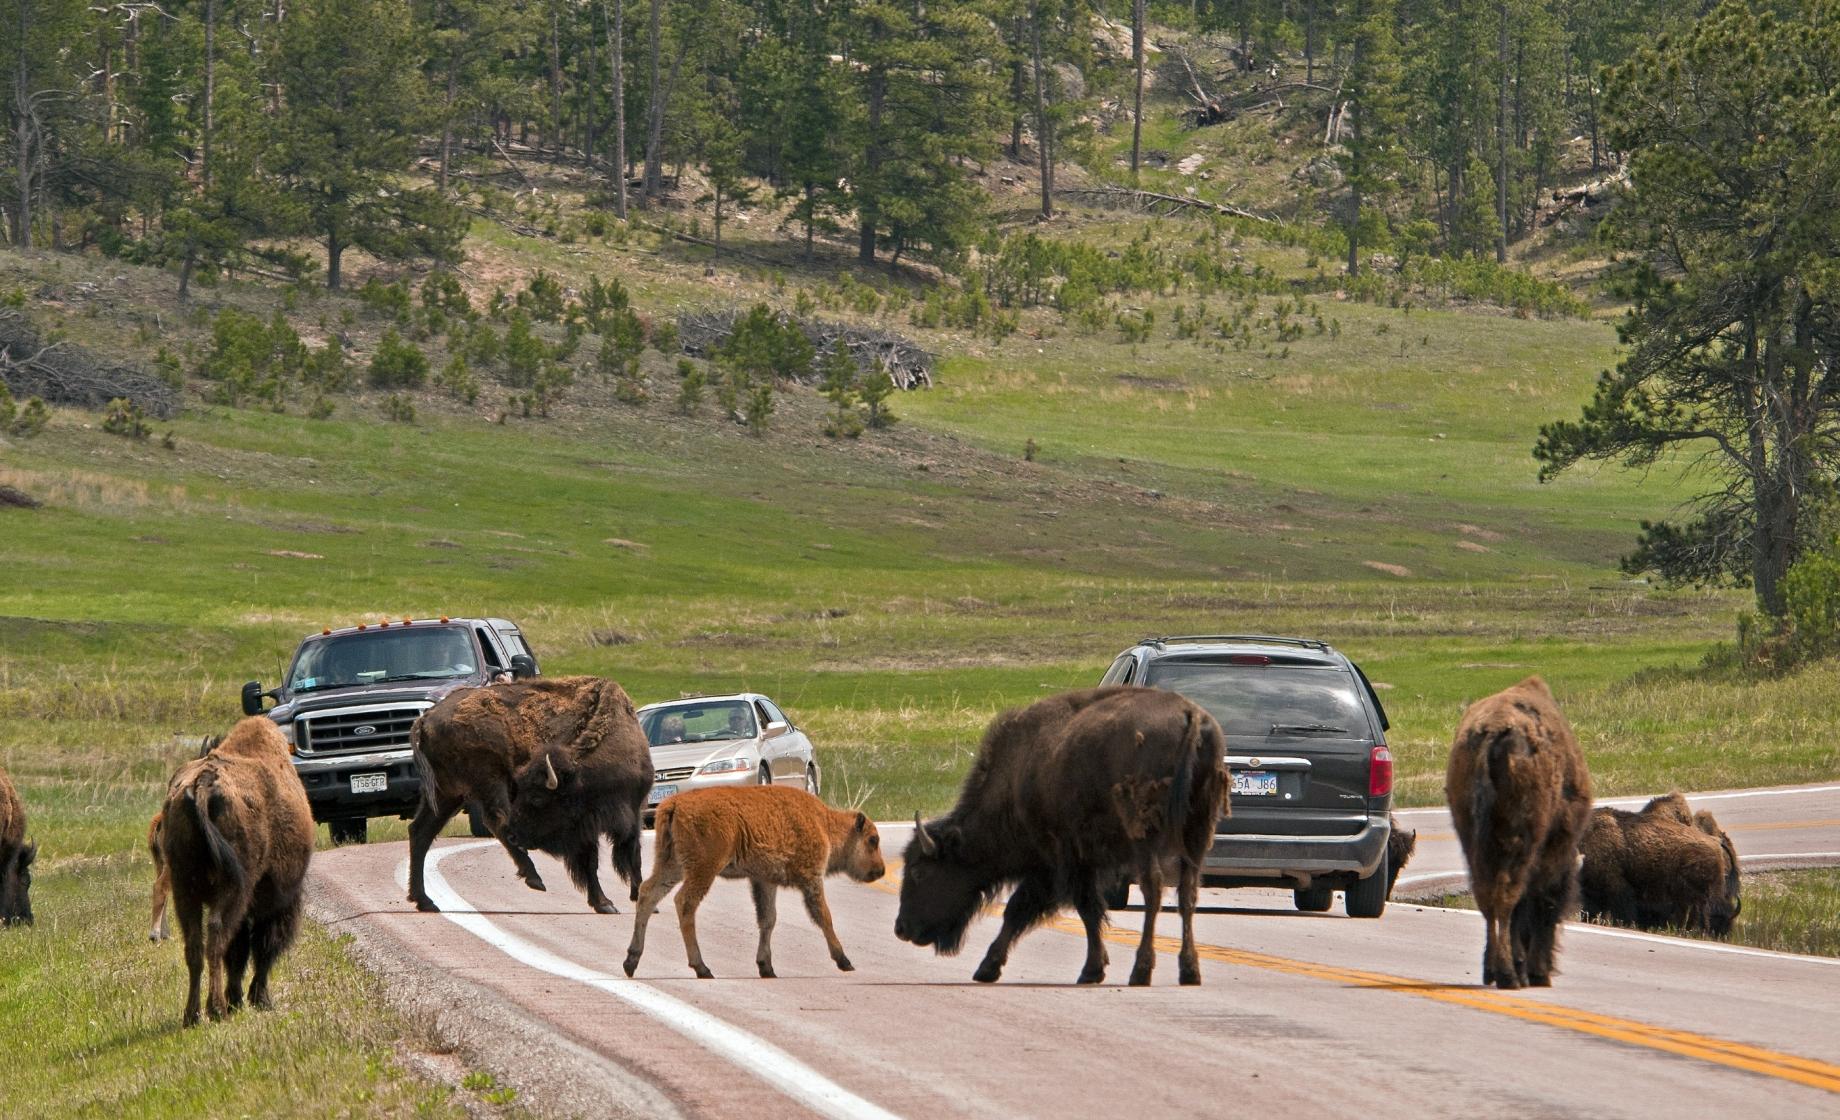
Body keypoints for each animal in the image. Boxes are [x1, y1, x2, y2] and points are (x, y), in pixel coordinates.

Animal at [159, 717, 315, 1025]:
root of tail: (203, 785)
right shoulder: (277, 901)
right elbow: (261, 947)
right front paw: (258, 999)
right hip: (234, 889)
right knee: (218, 936)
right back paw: (217, 1008)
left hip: (184, 888)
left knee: (195, 945)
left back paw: (193, 1014)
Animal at [409, 676, 651, 914]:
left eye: (536, 798)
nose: (517, 836)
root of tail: (425, 720)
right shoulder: (594, 823)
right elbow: (602, 859)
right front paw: (607, 903)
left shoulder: (630, 811)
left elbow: (631, 854)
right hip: (486, 782)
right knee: (495, 820)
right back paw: (534, 878)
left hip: (447, 795)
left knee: (420, 832)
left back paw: (424, 901)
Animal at [623, 785, 885, 979]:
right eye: (872, 840)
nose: (881, 870)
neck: (824, 823)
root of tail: (674, 804)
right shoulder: (811, 879)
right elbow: (824, 917)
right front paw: (844, 961)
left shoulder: (764, 881)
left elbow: (768, 920)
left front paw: (766, 967)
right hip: (703, 869)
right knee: (685, 902)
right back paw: (702, 968)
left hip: (671, 865)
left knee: (648, 894)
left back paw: (631, 961)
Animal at [895, 686, 1227, 986]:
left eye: (919, 871)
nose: (901, 929)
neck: (1019, 774)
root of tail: (1190, 715)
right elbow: (1062, 910)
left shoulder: (1059, 860)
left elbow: (1050, 908)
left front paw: (1090, 970)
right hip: (1197, 834)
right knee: (1187, 895)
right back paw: (1189, 971)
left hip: (1145, 839)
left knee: (1153, 891)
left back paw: (1141, 972)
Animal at [1446, 676, 1593, 990]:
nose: (1548, 972)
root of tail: (1492, 734)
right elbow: (1536, 903)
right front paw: (1535, 972)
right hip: (1518, 840)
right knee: (1506, 897)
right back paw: (1510, 975)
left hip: (1473, 840)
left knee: (1486, 897)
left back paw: (1493, 971)